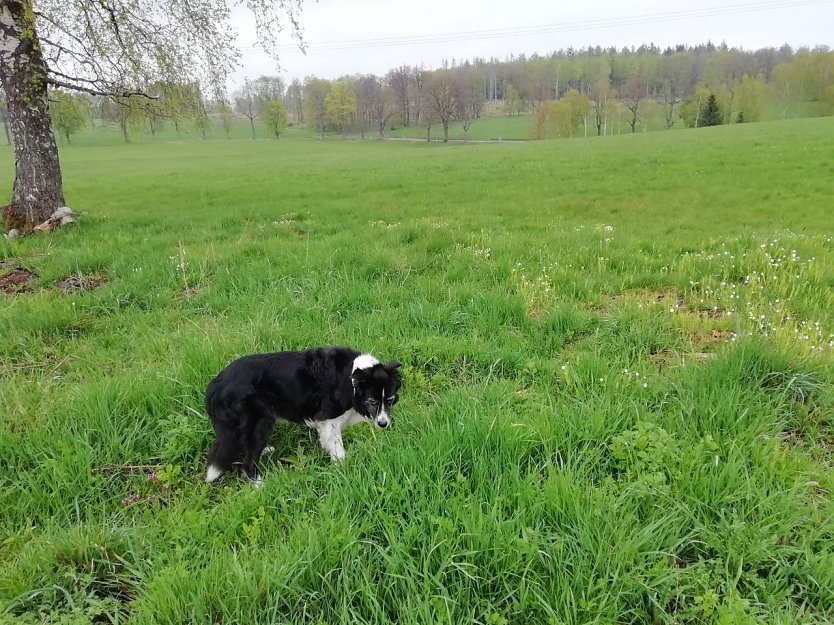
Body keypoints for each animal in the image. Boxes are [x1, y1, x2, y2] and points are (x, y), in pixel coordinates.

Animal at [201, 346, 396, 482]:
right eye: (372, 402)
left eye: (391, 400)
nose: (384, 424)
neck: (352, 376)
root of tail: (214, 386)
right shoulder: (328, 417)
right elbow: (337, 447)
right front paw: (342, 468)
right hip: (261, 420)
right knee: (248, 463)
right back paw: (260, 485)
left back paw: (265, 451)